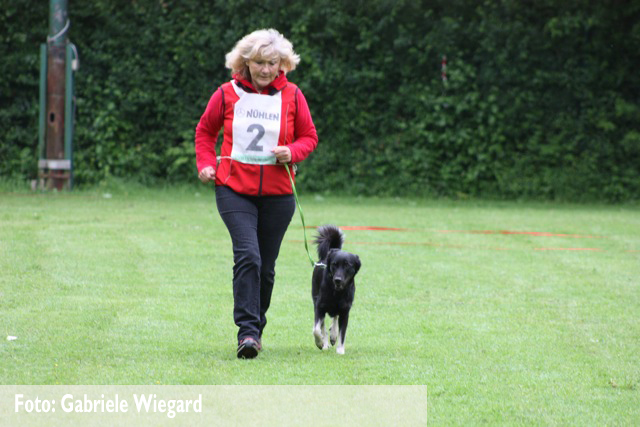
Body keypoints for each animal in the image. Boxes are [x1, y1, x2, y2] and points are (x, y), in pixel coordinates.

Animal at [314, 226, 362, 356]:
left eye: (347, 265)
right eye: (334, 264)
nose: (337, 280)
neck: (337, 292)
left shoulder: (345, 311)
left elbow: (342, 333)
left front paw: (340, 350)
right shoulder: (319, 307)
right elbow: (316, 330)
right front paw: (320, 343)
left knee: (335, 317)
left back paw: (333, 334)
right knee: (323, 326)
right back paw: (325, 342)